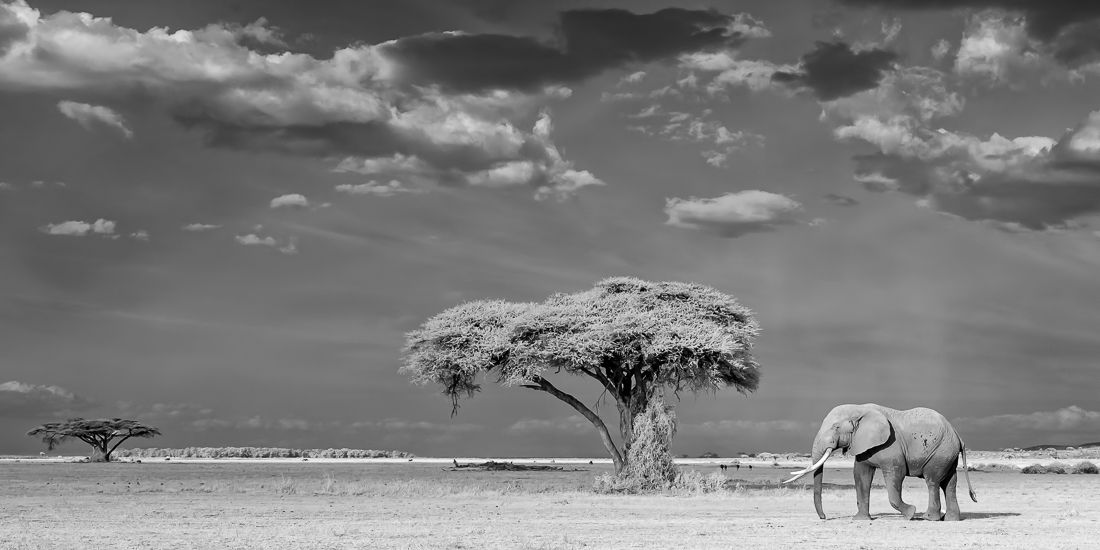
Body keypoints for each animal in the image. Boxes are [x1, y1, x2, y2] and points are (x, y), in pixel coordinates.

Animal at [783, 403, 977, 521]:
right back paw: (950, 519)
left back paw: (928, 517)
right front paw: (860, 519)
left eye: (836, 427)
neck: (859, 409)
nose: (824, 517)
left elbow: (895, 474)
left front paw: (910, 513)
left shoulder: (891, 445)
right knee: (949, 483)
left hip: (940, 450)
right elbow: (861, 475)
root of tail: (957, 435)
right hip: (947, 453)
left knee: (933, 481)